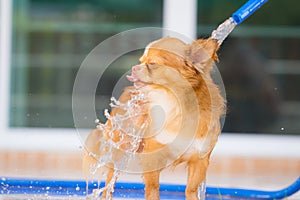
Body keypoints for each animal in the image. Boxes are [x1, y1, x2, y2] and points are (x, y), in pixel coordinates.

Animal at [82, 36, 225, 199]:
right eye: (141, 61)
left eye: (152, 63)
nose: (134, 67)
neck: (175, 104)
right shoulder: (152, 157)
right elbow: (153, 187)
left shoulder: (199, 159)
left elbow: (191, 189)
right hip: (122, 149)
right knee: (109, 183)